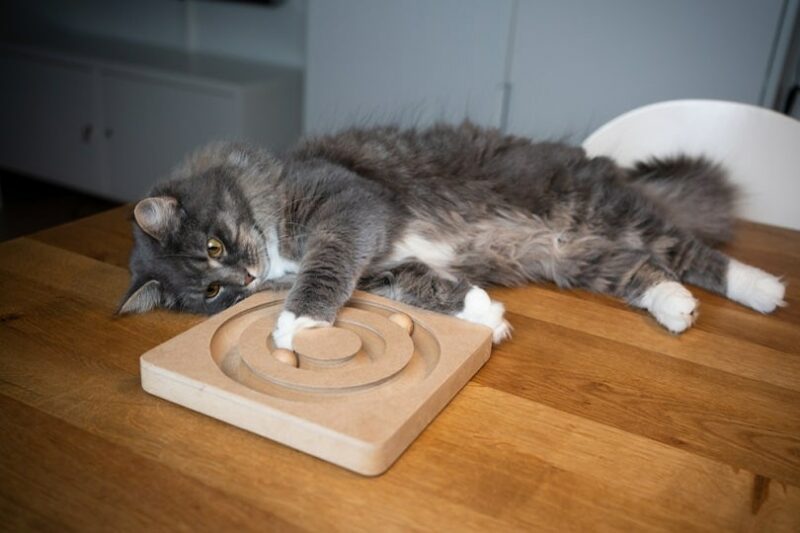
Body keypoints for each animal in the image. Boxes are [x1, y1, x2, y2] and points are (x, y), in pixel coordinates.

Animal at [119, 121, 788, 348]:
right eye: (210, 293)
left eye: (214, 247)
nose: (246, 276)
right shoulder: (384, 267)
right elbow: (430, 286)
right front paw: (487, 315)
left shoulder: (350, 207)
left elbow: (325, 268)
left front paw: (300, 322)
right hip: (573, 255)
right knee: (644, 272)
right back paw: (676, 308)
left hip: (606, 212)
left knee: (692, 251)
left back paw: (762, 289)